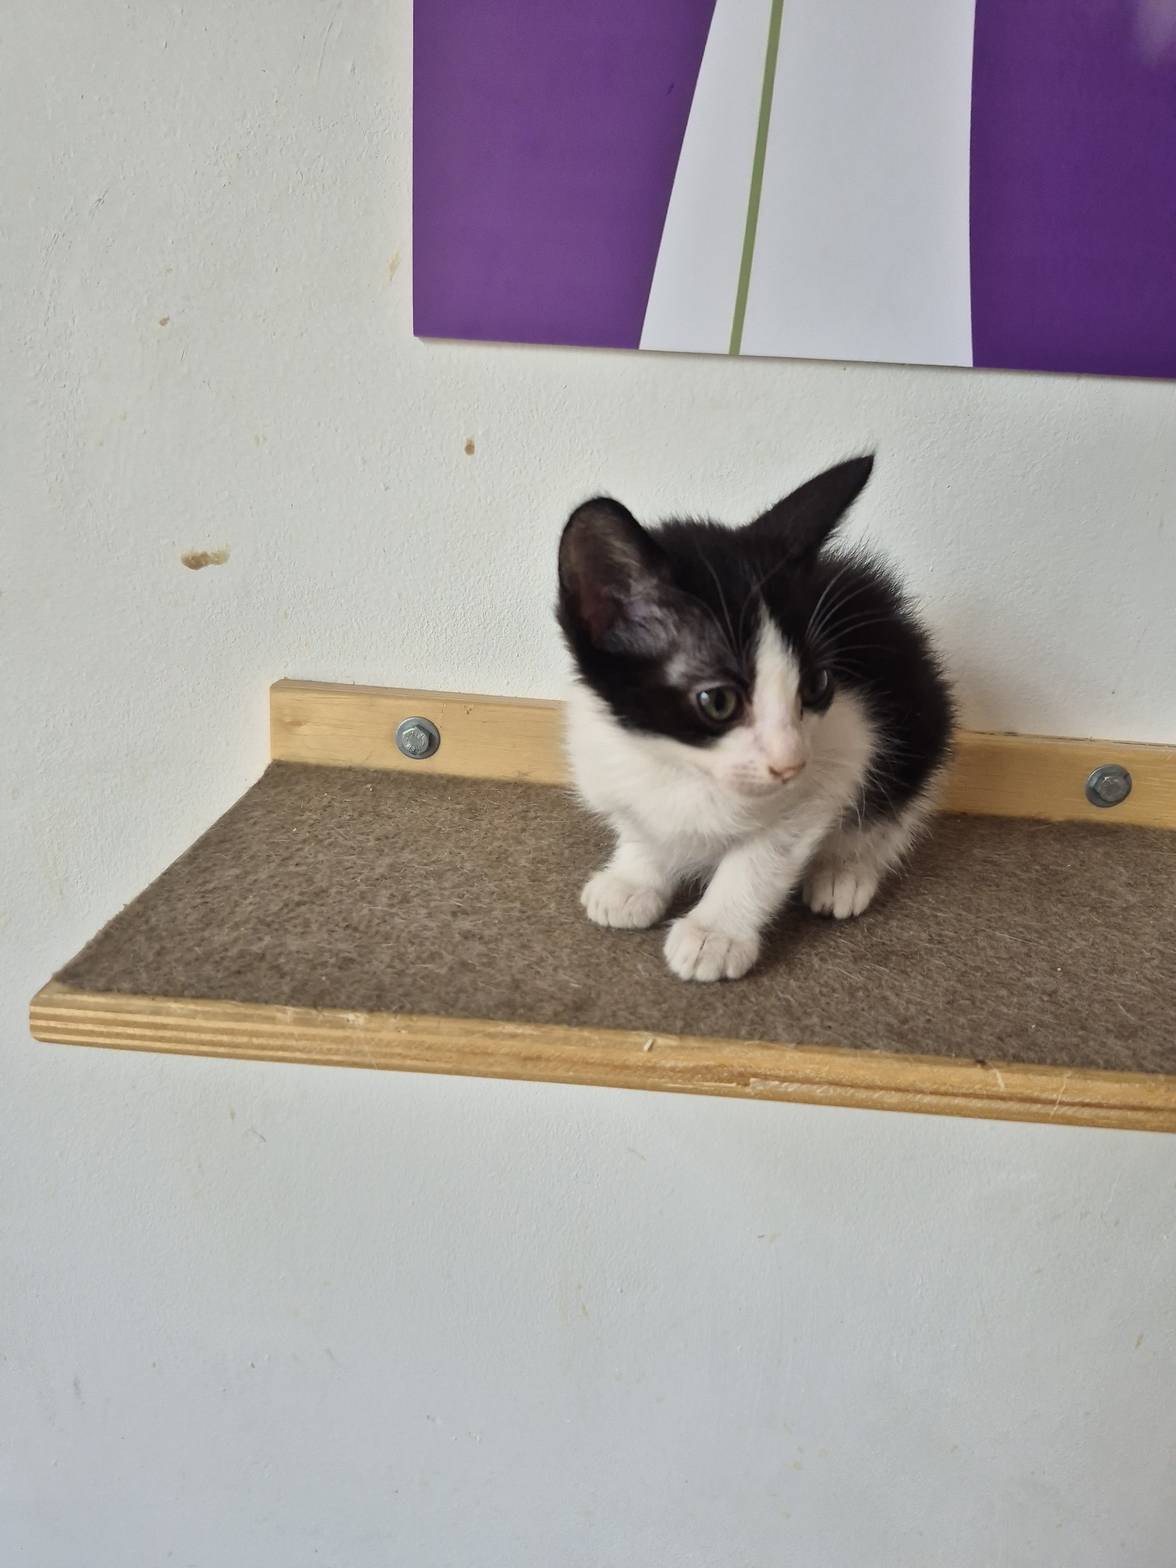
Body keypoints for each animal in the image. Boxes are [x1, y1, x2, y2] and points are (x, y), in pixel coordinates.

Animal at [556, 455, 953, 982]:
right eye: (717, 701)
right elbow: (642, 825)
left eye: (817, 685)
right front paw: (635, 878)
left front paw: (716, 933)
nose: (791, 764)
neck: (681, 766)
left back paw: (844, 871)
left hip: (918, 717)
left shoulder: (844, 750)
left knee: (891, 808)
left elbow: (763, 855)